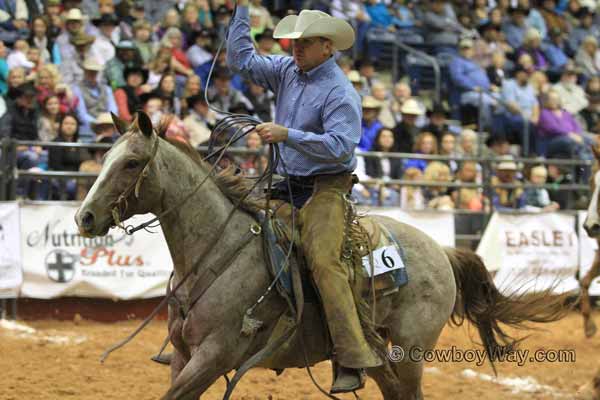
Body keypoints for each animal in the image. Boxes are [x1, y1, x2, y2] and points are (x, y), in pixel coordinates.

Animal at [75, 113, 568, 400]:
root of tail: (441, 250)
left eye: (132, 163)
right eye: (106, 156)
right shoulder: (183, 357)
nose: (85, 216)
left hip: (410, 352)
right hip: (380, 351)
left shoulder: (213, 357)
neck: (216, 254)